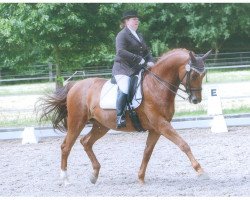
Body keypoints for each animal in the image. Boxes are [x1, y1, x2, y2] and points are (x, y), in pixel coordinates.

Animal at [37, 47, 211, 185]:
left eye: (203, 75)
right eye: (194, 75)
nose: (196, 100)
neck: (157, 85)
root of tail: (75, 85)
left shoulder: (156, 128)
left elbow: (147, 152)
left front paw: (140, 178)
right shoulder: (161, 124)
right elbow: (183, 144)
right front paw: (200, 170)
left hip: (101, 125)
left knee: (86, 142)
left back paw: (94, 174)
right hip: (77, 122)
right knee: (66, 146)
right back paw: (65, 179)